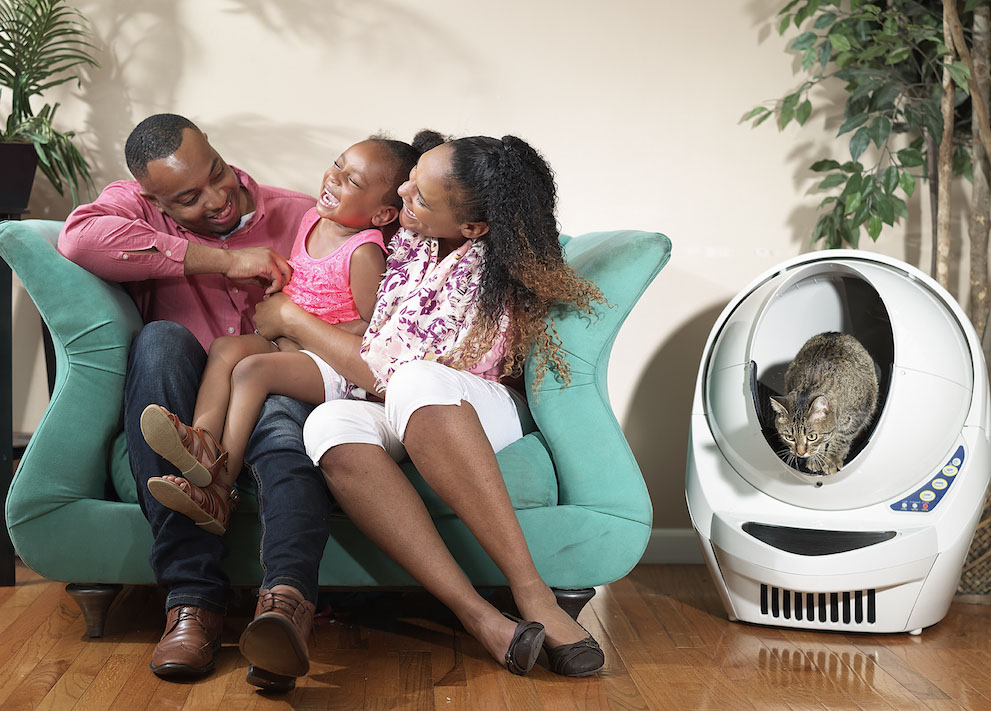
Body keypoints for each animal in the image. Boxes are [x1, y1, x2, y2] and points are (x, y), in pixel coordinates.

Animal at [772, 330, 880, 476]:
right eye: (789, 437)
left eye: (812, 436)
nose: (800, 453)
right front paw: (816, 458)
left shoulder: (857, 416)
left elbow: (842, 438)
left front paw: (832, 459)